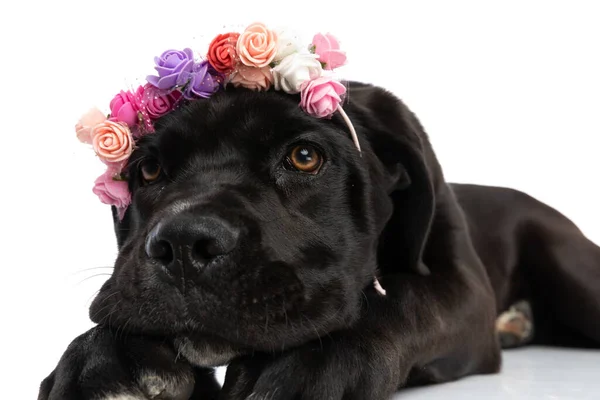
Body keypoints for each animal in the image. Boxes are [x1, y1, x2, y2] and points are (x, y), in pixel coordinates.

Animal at [38, 83, 600, 398]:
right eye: (149, 169)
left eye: (305, 156)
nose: (182, 244)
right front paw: (104, 359)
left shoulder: (462, 290)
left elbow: (401, 298)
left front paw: (307, 360)